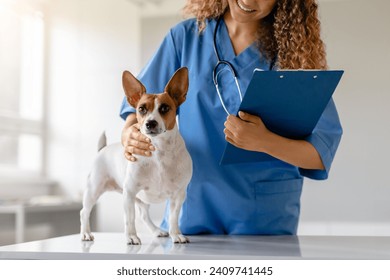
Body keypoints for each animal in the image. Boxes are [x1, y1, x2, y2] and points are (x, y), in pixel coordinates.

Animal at [80, 66, 193, 244]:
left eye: (164, 108)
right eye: (141, 109)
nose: (150, 123)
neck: (158, 152)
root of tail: (102, 149)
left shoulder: (178, 195)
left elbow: (174, 218)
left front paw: (176, 234)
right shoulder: (130, 193)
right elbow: (129, 219)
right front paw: (132, 236)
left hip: (140, 199)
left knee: (144, 214)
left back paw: (157, 231)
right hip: (94, 189)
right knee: (84, 212)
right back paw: (85, 233)